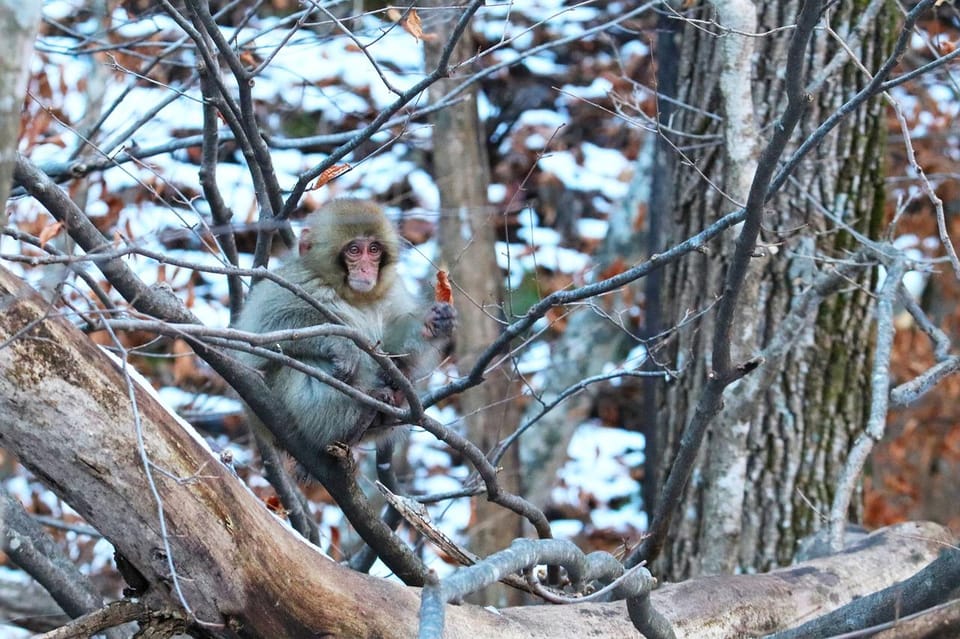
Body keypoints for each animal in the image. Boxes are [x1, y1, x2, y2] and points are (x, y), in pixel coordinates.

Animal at [234, 200, 456, 460]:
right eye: (354, 250)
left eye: (373, 249)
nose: (366, 269)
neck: (353, 295)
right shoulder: (294, 281)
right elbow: (268, 327)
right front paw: (344, 345)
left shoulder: (393, 290)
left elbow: (393, 347)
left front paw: (432, 324)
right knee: (297, 362)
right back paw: (354, 418)